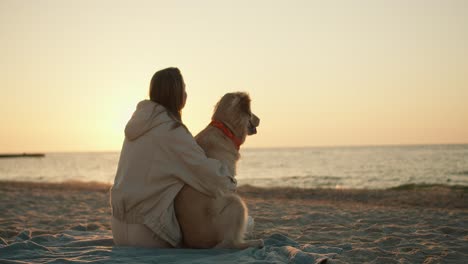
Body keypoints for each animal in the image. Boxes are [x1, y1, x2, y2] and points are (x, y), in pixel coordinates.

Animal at [175, 92, 266, 249]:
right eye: (251, 112)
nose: (260, 119)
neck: (225, 130)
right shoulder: (227, 181)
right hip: (236, 203)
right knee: (230, 243)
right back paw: (253, 242)